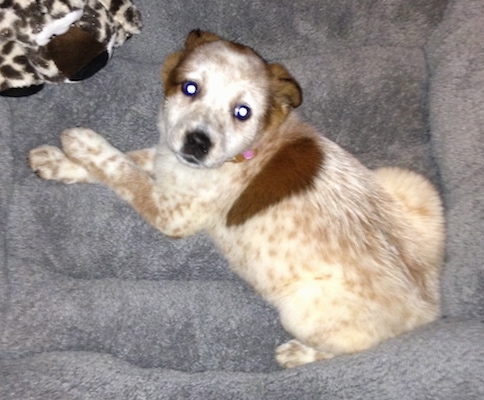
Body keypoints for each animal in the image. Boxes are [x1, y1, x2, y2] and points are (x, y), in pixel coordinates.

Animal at [28, 29, 444, 368]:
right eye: (190, 88)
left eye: (242, 112)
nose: (197, 143)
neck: (248, 150)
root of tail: (428, 307)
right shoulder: (167, 161)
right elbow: (130, 158)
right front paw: (58, 161)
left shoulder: (171, 213)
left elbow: (122, 170)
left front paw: (84, 143)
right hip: (408, 183)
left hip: (301, 311)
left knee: (353, 348)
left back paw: (299, 354)